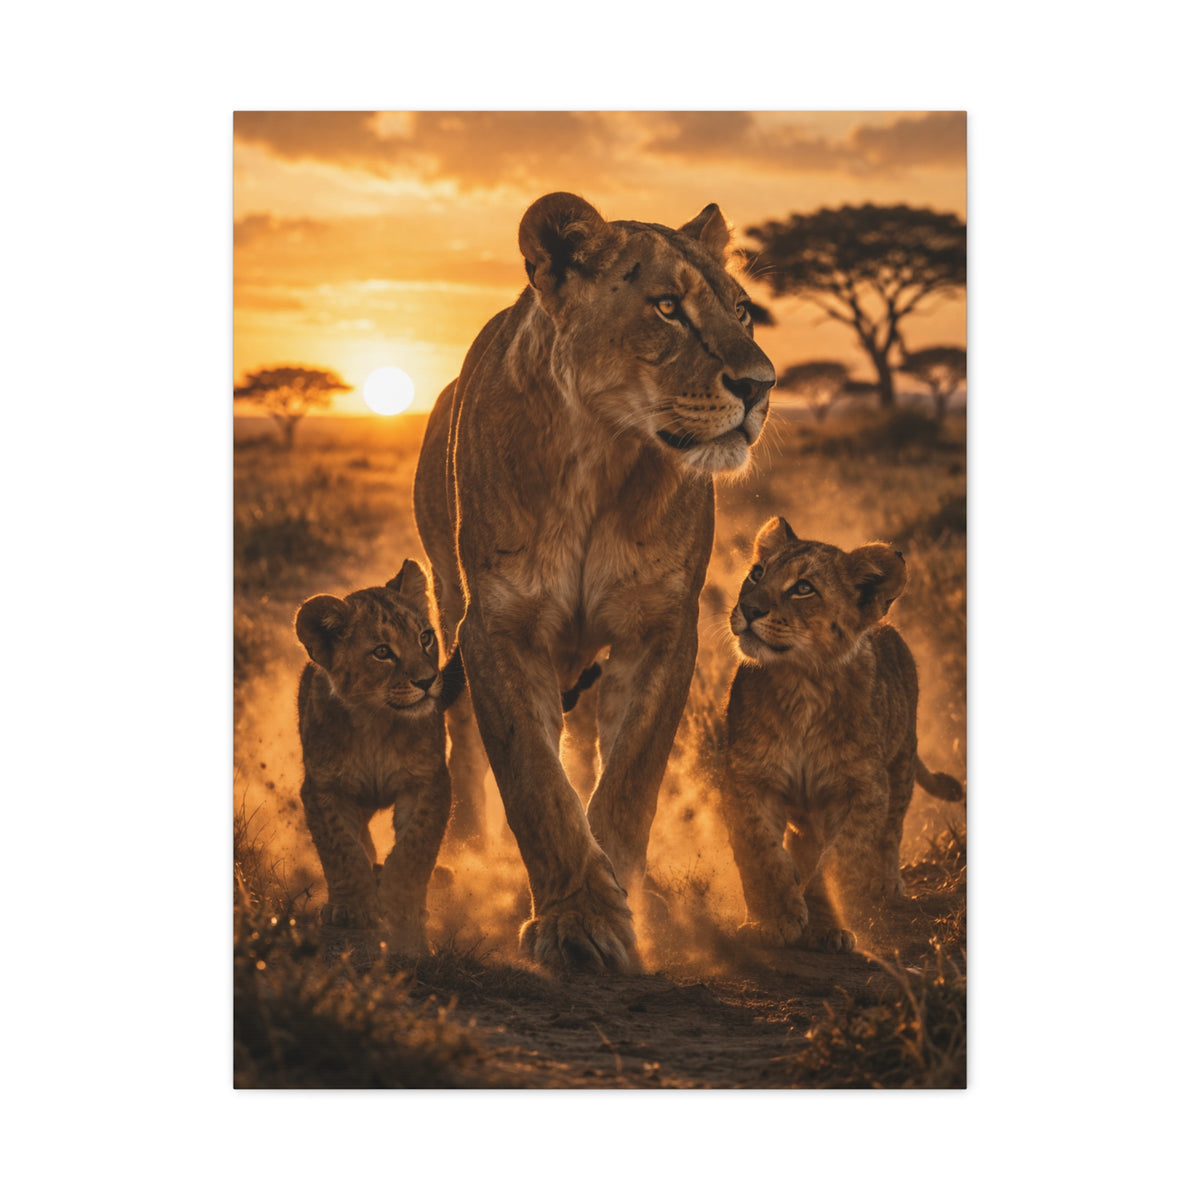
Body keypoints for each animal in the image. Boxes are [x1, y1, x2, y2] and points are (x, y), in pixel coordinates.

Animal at [295, 560, 464, 956]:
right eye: (383, 652)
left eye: (425, 638)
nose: (427, 681)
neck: (376, 722)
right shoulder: (322, 787)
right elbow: (341, 847)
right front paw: (351, 908)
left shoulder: (429, 781)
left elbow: (414, 847)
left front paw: (401, 904)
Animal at [413, 192, 775, 971]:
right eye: (667, 307)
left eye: (743, 312)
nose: (762, 386)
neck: (602, 453)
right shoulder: (498, 627)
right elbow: (533, 781)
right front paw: (577, 923)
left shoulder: (661, 630)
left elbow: (628, 781)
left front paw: (624, 905)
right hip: (448, 597)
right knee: (464, 735)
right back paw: (464, 857)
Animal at [720, 518, 964, 953]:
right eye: (757, 573)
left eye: (804, 588)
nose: (749, 609)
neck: (801, 685)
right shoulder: (748, 778)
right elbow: (760, 852)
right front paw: (775, 919)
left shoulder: (864, 788)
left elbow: (840, 861)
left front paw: (827, 928)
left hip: (901, 764)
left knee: (891, 832)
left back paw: (886, 884)